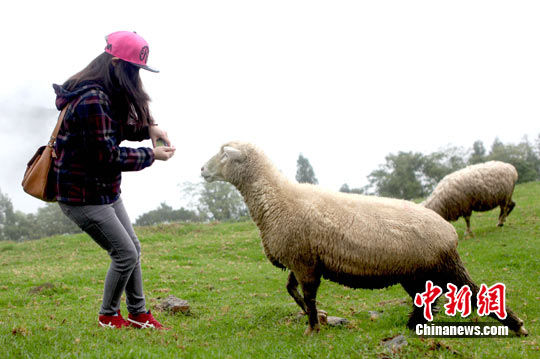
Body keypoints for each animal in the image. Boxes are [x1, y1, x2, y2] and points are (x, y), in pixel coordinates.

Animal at [199, 143, 528, 338]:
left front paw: (313, 327)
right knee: (427, 299)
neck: (277, 198)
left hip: (443, 266)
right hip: (416, 273)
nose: (202, 169)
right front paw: (316, 317)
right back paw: (413, 325)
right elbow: (292, 290)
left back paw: (516, 325)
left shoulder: (304, 261)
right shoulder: (302, 258)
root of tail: (449, 231)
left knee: (473, 291)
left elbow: (307, 294)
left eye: (225, 154)